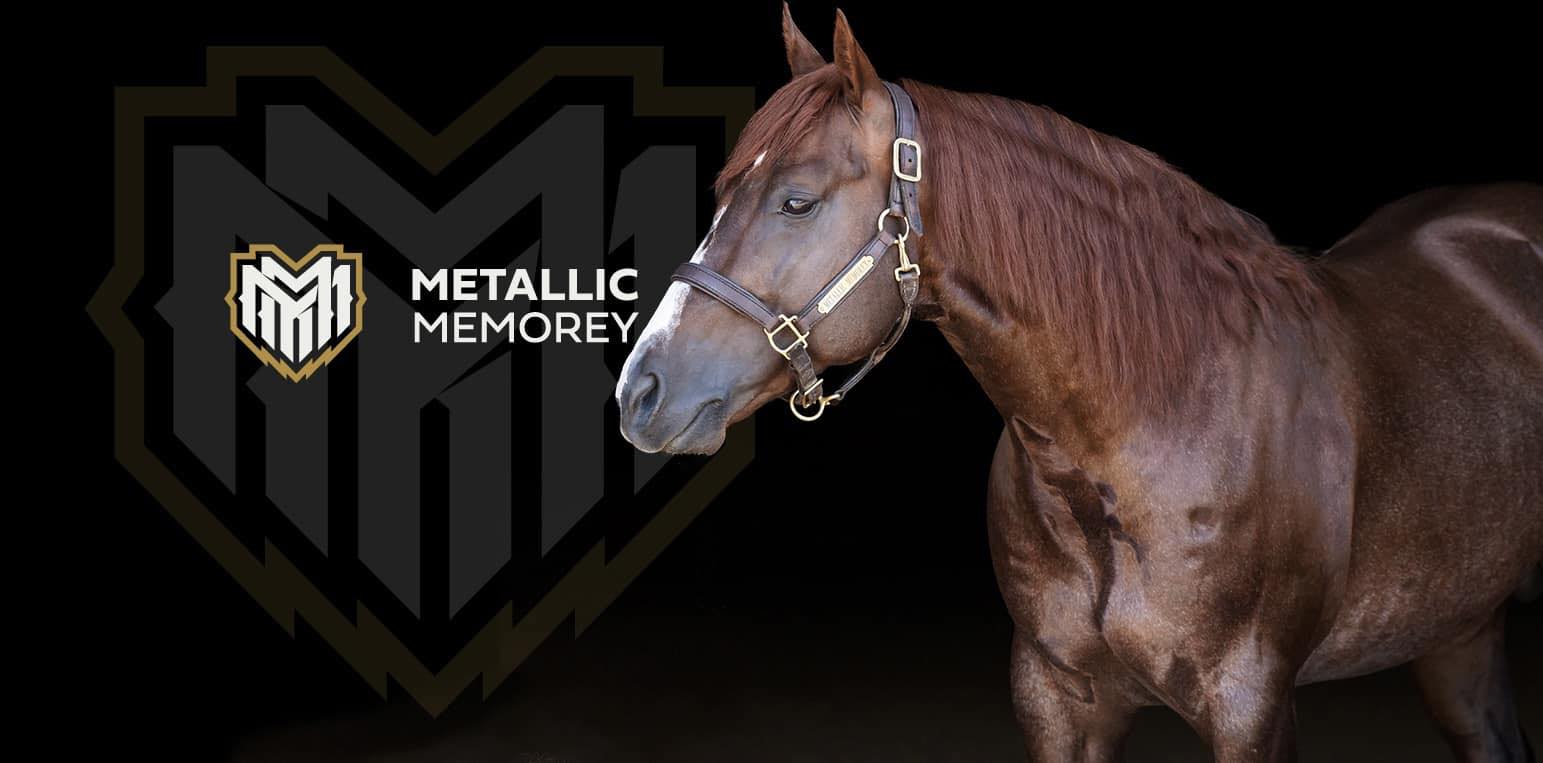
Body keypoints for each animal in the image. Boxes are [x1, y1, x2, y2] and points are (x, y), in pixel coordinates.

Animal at [615, 7, 1543, 760]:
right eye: (723, 191)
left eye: (797, 201)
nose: (640, 391)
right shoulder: (1058, 700)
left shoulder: (1250, 708)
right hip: (1457, 630)